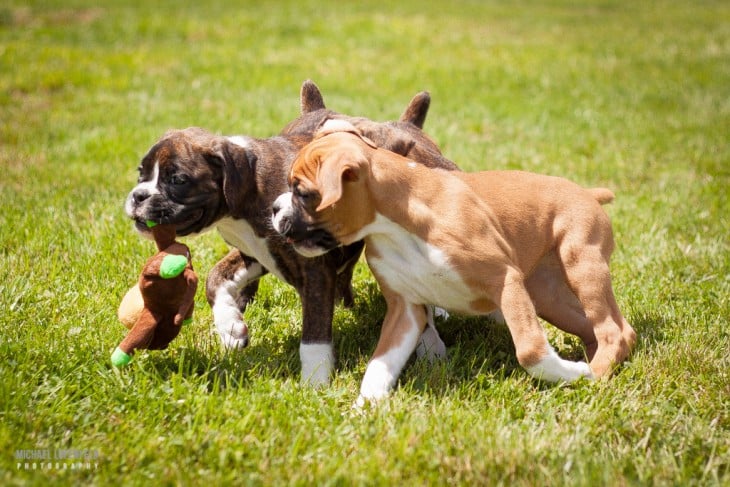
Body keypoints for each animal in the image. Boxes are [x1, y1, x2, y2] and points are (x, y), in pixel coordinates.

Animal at [270, 121, 636, 404]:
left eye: (302, 192)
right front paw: (364, 410)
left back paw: (592, 374)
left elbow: (529, 349)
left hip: (582, 267)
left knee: (613, 330)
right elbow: (379, 367)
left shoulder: (505, 281)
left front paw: (569, 373)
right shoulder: (405, 312)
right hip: (549, 297)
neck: (397, 224)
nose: (274, 208)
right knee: (605, 330)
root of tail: (589, 193)